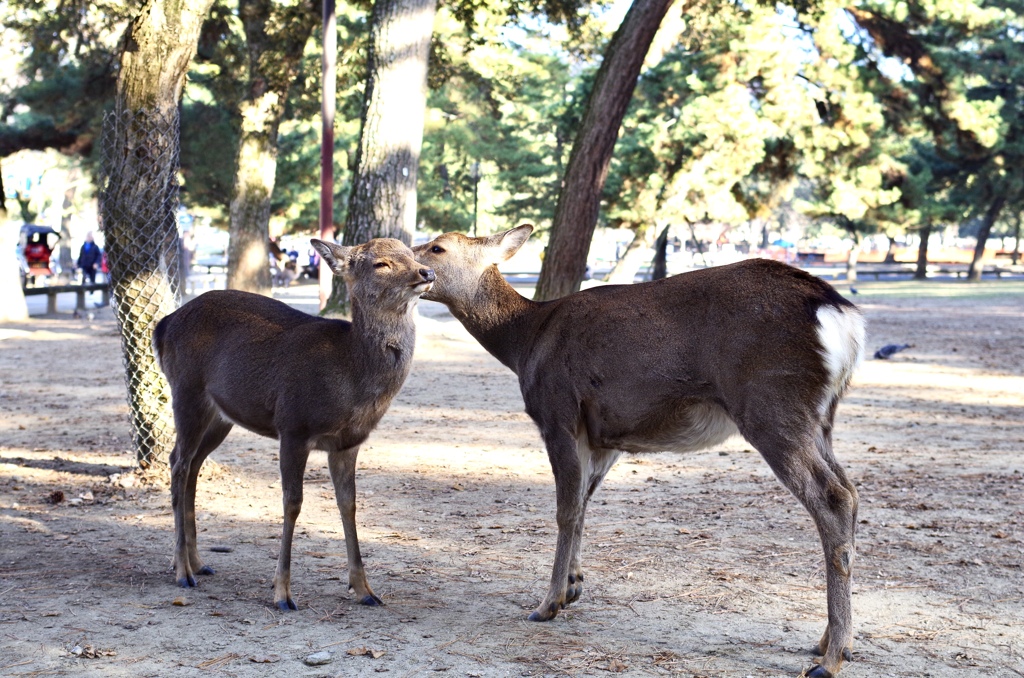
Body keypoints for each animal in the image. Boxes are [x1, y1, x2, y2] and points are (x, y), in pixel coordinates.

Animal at [153, 237, 434, 610]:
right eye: (381, 264)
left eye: (411, 254)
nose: (427, 272)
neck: (349, 376)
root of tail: (163, 324)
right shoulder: (293, 426)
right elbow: (292, 502)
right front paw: (282, 593)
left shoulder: (347, 443)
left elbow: (349, 504)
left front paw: (365, 590)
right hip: (186, 390)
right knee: (178, 464)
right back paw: (183, 571)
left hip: (220, 415)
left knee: (192, 466)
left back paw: (197, 562)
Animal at [413, 228, 864, 678]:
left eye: (437, 247)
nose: (413, 267)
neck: (524, 342)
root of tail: (841, 316)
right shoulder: (604, 436)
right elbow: (583, 504)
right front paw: (574, 585)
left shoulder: (558, 412)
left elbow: (565, 510)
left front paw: (548, 603)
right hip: (820, 418)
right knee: (852, 492)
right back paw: (828, 642)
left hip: (772, 404)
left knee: (833, 498)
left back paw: (831, 658)